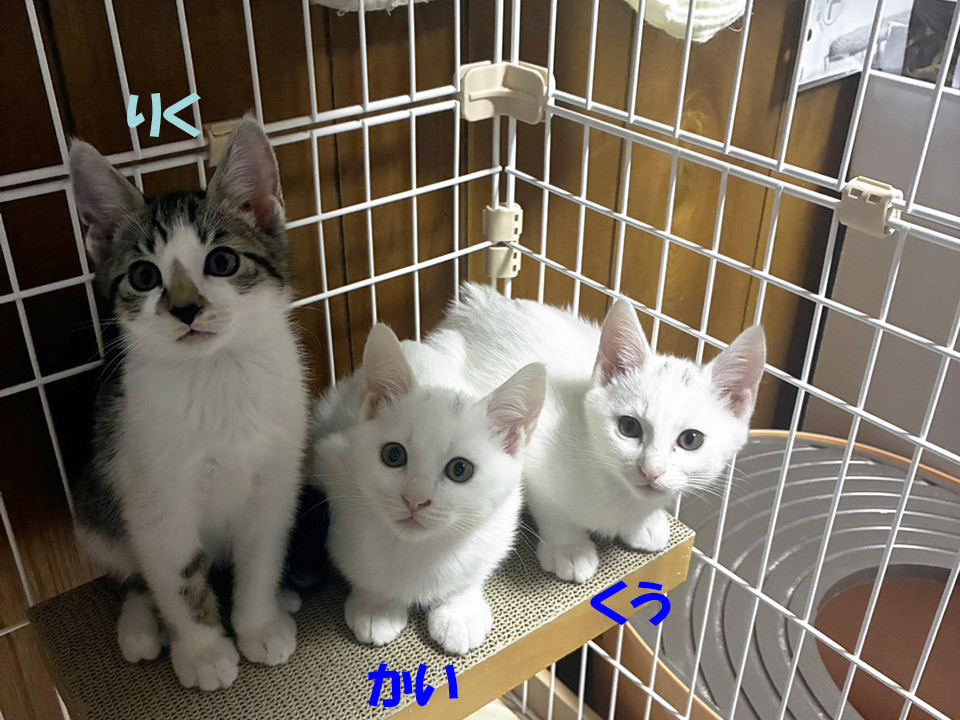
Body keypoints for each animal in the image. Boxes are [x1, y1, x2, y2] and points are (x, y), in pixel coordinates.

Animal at [70, 118, 308, 690]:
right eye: (143, 276)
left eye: (222, 261)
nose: (185, 308)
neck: (215, 377)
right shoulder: (157, 502)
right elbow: (174, 576)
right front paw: (204, 652)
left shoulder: (275, 482)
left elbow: (261, 556)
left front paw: (258, 623)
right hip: (95, 505)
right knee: (134, 576)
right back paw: (139, 627)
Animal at [314, 324, 545, 654]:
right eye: (393, 454)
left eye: (460, 470)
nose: (415, 499)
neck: (419, 551)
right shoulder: (333, 466)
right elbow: (361, 570)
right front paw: (376, 606)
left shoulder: (502, 520)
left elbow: (474, 572)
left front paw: (460, 612)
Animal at [430, 283, 765, 583]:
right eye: (629, 427)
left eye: (691, 440)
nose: (651, 471)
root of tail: (474, 305)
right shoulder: (534, 456)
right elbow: (551, 508)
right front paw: (569, 548)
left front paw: (644, 524)